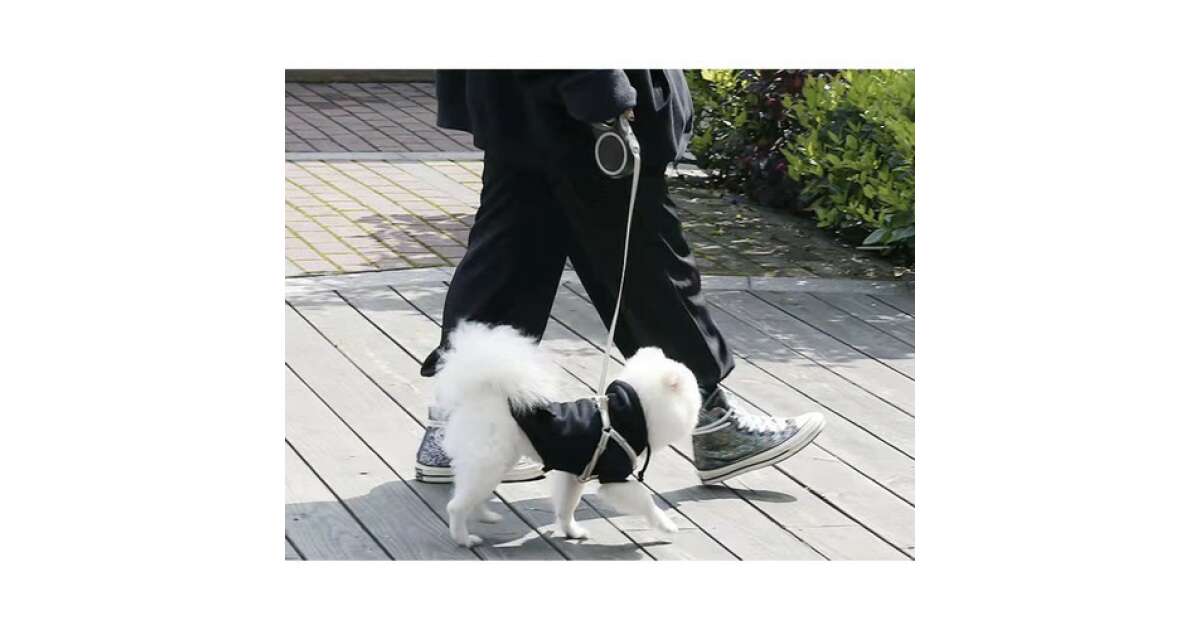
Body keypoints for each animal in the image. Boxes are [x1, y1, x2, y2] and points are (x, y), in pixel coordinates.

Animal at [433, 321, 702, 547]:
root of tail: (480, 394)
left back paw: (486, 516)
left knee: (470, 494)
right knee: (456, 506)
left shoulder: (574, 474)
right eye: (694, 389)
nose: (705, 391)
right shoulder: (614, 477)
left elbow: (567, 506)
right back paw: (464, 539)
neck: (629, 411)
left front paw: (571, 531)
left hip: (496, 463)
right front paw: (666, 525)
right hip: (489, 463)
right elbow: (644, 498)